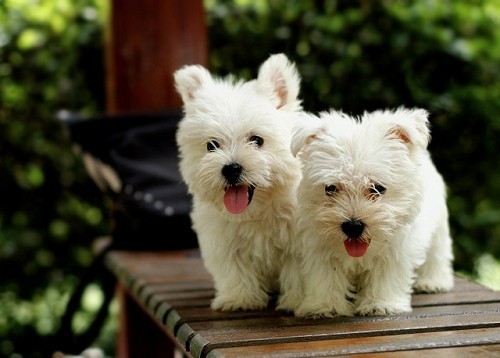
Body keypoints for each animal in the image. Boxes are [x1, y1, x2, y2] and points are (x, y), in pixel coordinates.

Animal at [174, 53, 302, 310]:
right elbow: (235, 269)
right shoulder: (224, 240)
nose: (231, 169)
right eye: (211, 145)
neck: (257, 213)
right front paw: (240, 298)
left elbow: (297, 271)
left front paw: (295, 301)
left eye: (257, 140)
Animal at [292, 107, 456, 318]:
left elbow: (385, 277)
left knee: (437, 252)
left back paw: (433, 281)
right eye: (330, 188)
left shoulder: (395, 249)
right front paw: (324, 306)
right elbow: (325, 277)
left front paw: (381, 304)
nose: (353, 226)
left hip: (439, 227)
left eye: (378, 188)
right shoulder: (320, 248)